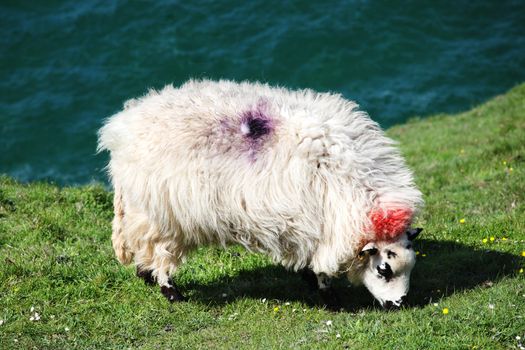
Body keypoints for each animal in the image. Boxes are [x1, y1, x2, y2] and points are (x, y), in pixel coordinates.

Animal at [98, 79, 424, 308]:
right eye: (384, 270)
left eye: (410, 267)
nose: (398, 304)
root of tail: (120, 129)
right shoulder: (315, 227)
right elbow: (319, 269)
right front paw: (328, 297)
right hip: (163, 216)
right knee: (159, 253)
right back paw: (171, 292)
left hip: (142, 210)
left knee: (138, 243)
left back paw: (146, 275)